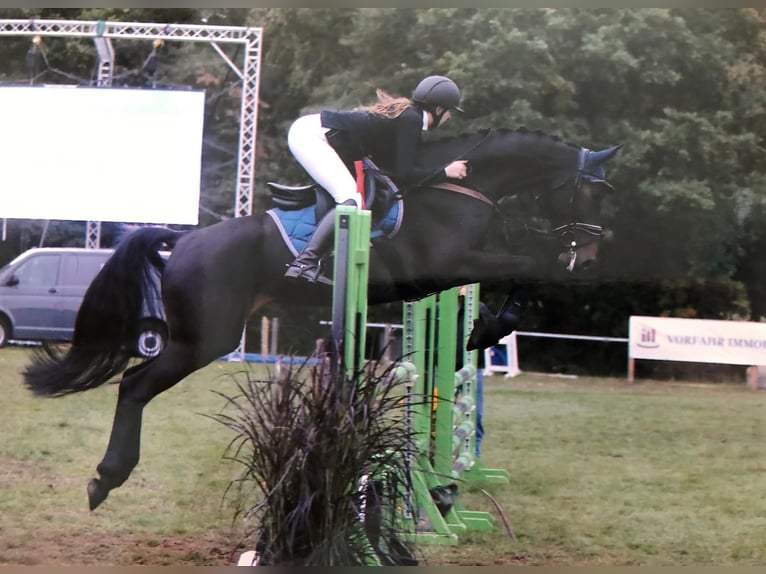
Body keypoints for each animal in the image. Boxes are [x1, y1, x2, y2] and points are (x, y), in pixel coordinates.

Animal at [22, 128, 624, 510]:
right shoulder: (454, 264)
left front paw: (477, 336)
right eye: (592, 194)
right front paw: (492, 328)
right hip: (205, 339)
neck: (459, 186)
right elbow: (530, 266)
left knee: (133, 383)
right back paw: (106, 480)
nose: (594, 257)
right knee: (134, 384)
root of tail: (183, 241)